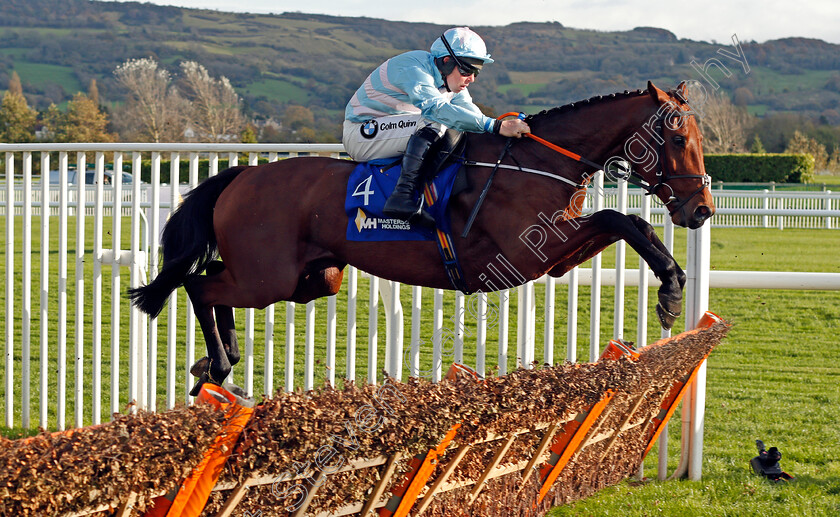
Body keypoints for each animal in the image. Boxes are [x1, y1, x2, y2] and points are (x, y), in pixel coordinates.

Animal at [130, 80, 716, 390]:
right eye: (677, 137)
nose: (701, 210)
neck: (536, 161)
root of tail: (240, 176)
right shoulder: (534, 250)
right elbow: (623, 218)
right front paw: (670, 292)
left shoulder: (552, 257)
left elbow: (625, 223)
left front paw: (672, 285)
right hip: (267, 278)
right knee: (199, 284)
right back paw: (218, 361)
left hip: (311, 277)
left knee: (210, 277)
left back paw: (217, 360)